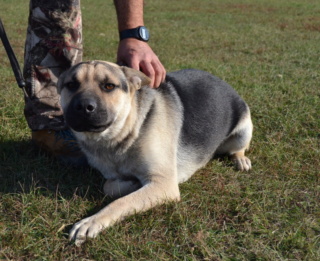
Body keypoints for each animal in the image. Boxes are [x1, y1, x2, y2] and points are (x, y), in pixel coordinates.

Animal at [57, 60, 252, 244]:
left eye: (109, 86)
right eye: (71, 85)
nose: (83, 106)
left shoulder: (164, 184)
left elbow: (121, 202)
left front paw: (92, 221)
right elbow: (109, 186)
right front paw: (131, 184)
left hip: (243, 131)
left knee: (238, 149)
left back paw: (241, 159)